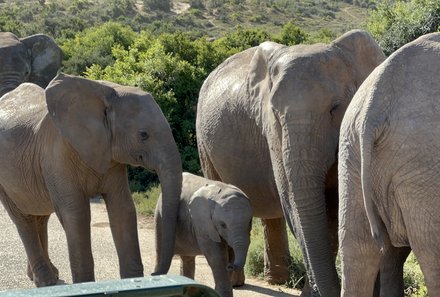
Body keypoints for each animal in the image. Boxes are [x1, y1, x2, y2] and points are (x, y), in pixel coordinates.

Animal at [0, 73, 182, 286]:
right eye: (143, 135)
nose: (155, 273)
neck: (107, 91)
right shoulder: (56, 156)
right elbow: (76, 214)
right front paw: (85, 284)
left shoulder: (109, 154)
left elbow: (123, 209)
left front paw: (133, 282)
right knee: (24, 220)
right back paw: (46, 282)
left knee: (40, 217)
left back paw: (48, 276)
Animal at [196, 30, 384, 296]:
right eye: (275, 112)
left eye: (335, 108)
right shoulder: (272, 131)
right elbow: (296, 203)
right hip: (203, 140)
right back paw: (236, 281)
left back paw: (275, 280)